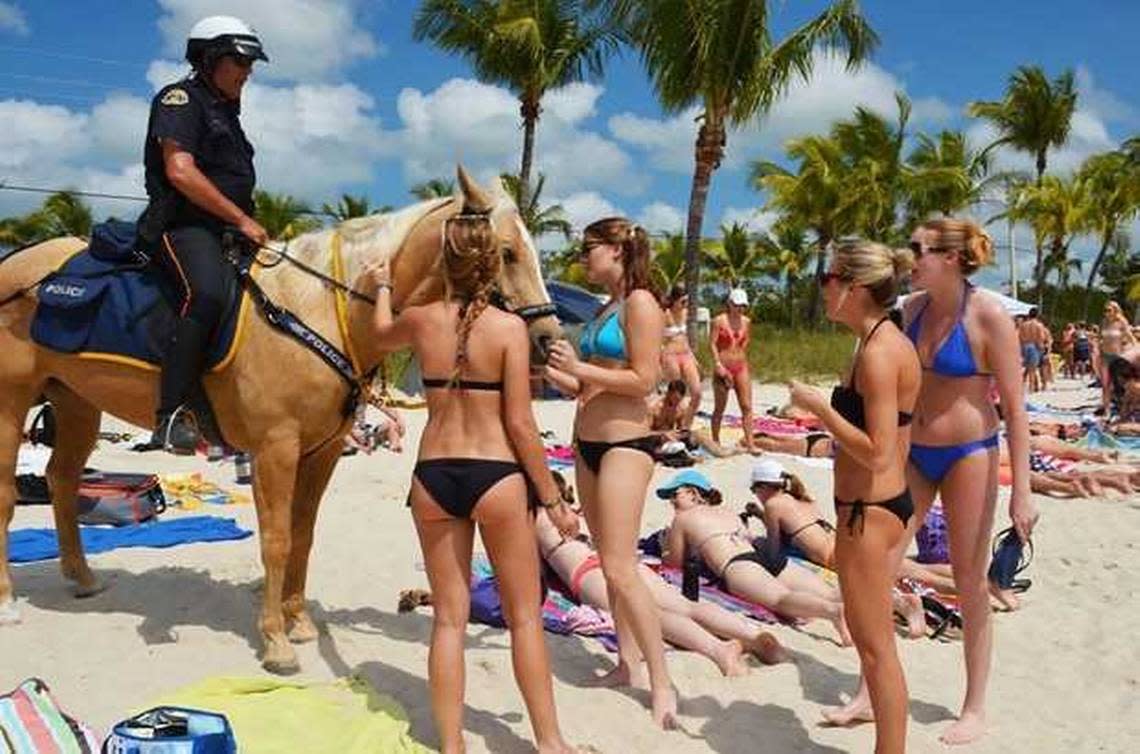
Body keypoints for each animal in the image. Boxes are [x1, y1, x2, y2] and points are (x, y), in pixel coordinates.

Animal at [0, 166, 560, 670]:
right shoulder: (275, 448)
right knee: (10, 495)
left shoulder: (322, 449)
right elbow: (276, 539)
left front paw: (298, 621)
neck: (319, 311)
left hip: (76, 403)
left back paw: (81, 577)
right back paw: (8, 600)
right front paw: (275, 641)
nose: (547, 341)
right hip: (12, 403)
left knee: (62, 480)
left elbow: (303, 534)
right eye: (506, 252)